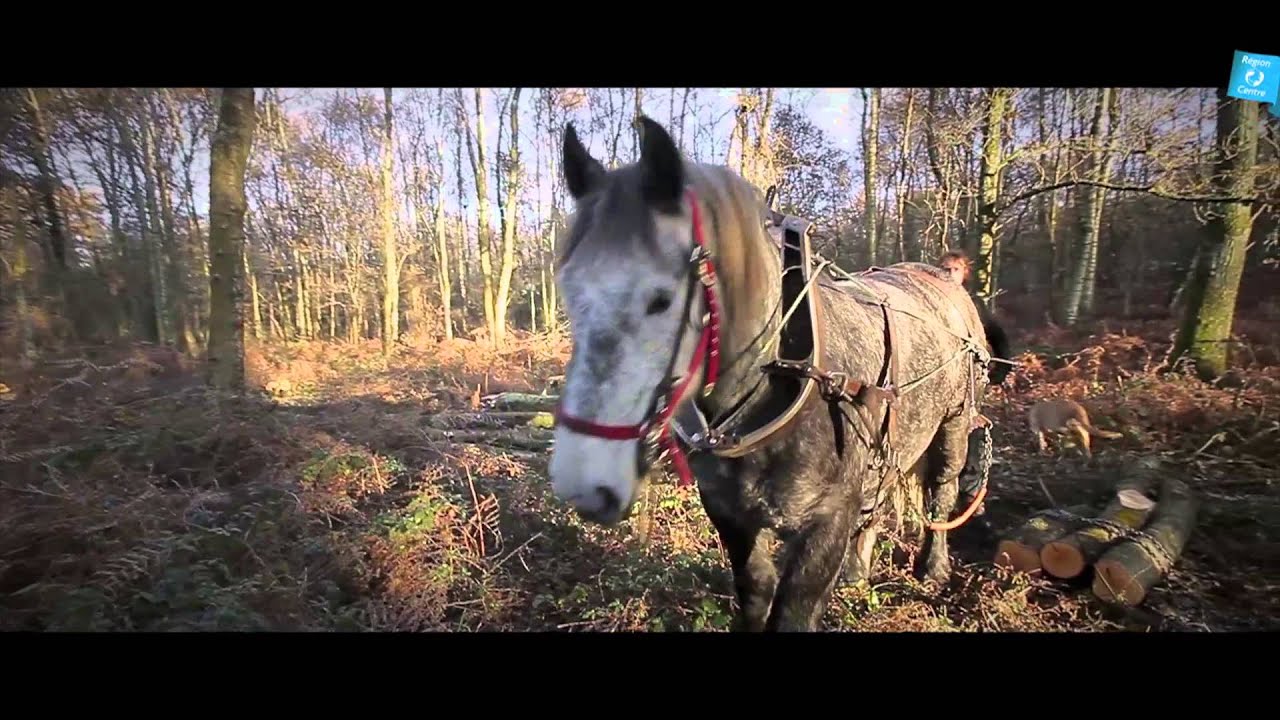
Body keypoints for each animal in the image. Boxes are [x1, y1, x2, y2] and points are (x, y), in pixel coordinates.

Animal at [546, 115, 1010, 632]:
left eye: (661, 300)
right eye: (568, 290)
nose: (584, 484)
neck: (778, 380)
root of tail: (946, 278)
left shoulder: (827, 522)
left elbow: (794, 608)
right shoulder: (730, 513)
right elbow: (755, 590)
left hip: (954, 422)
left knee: (940, 493)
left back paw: (933, 567)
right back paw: (857, 570)